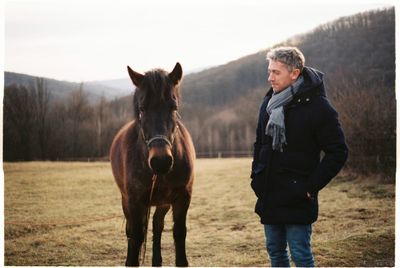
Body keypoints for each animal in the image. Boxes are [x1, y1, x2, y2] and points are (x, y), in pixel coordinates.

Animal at [110, 62, 196, 266]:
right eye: (142, 108)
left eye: (173, 107)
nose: (161, 161)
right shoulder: (134, 201)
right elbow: (135, 237)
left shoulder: (182, 198)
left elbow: (178, 234)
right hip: (127, 201)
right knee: (133, 231)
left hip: (163, 203)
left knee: (157, 225)